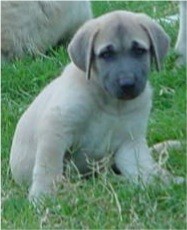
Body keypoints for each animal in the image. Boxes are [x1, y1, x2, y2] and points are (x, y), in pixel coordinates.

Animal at [9, 11, 180, 201]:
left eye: (139, 51)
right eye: (106, 54)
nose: (127, 83)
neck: (112, 104)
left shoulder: (130, 143)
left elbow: (144, 169)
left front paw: (164, 182)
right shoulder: (56, 129)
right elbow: (49, 166)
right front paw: (43, 195)